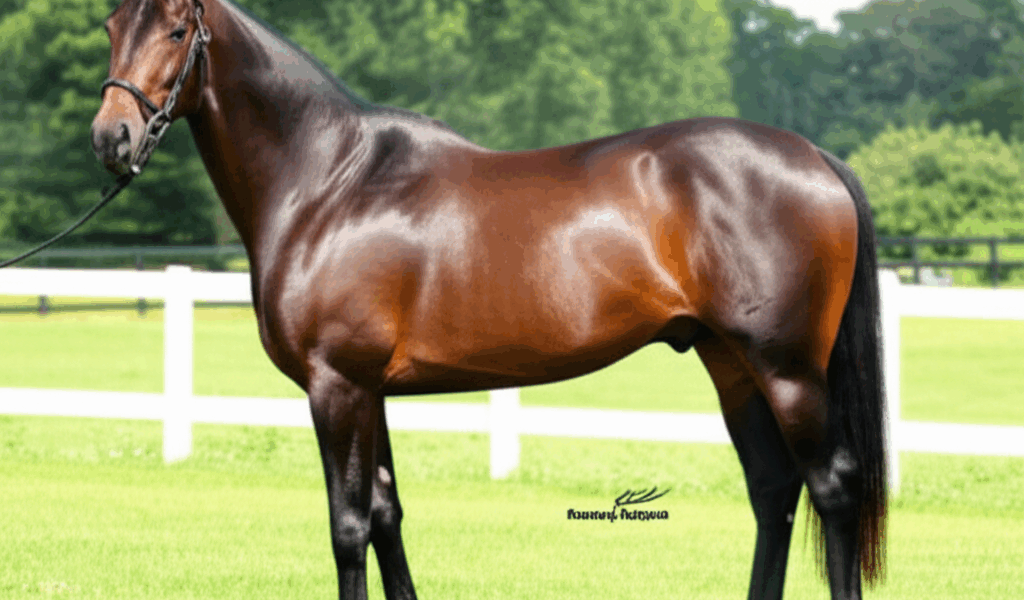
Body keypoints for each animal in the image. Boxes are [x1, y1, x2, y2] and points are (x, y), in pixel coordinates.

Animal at [90, 0, 887, 598]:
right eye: (109, 25)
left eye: (176, 30)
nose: (111, 138)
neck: (330, 182)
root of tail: (814, 157)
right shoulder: (369, 390)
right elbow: (386, 514)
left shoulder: (336, 385)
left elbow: (348, 527)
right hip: (731, 366)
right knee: (773, 490)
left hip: (787, 370)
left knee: (832, 487)